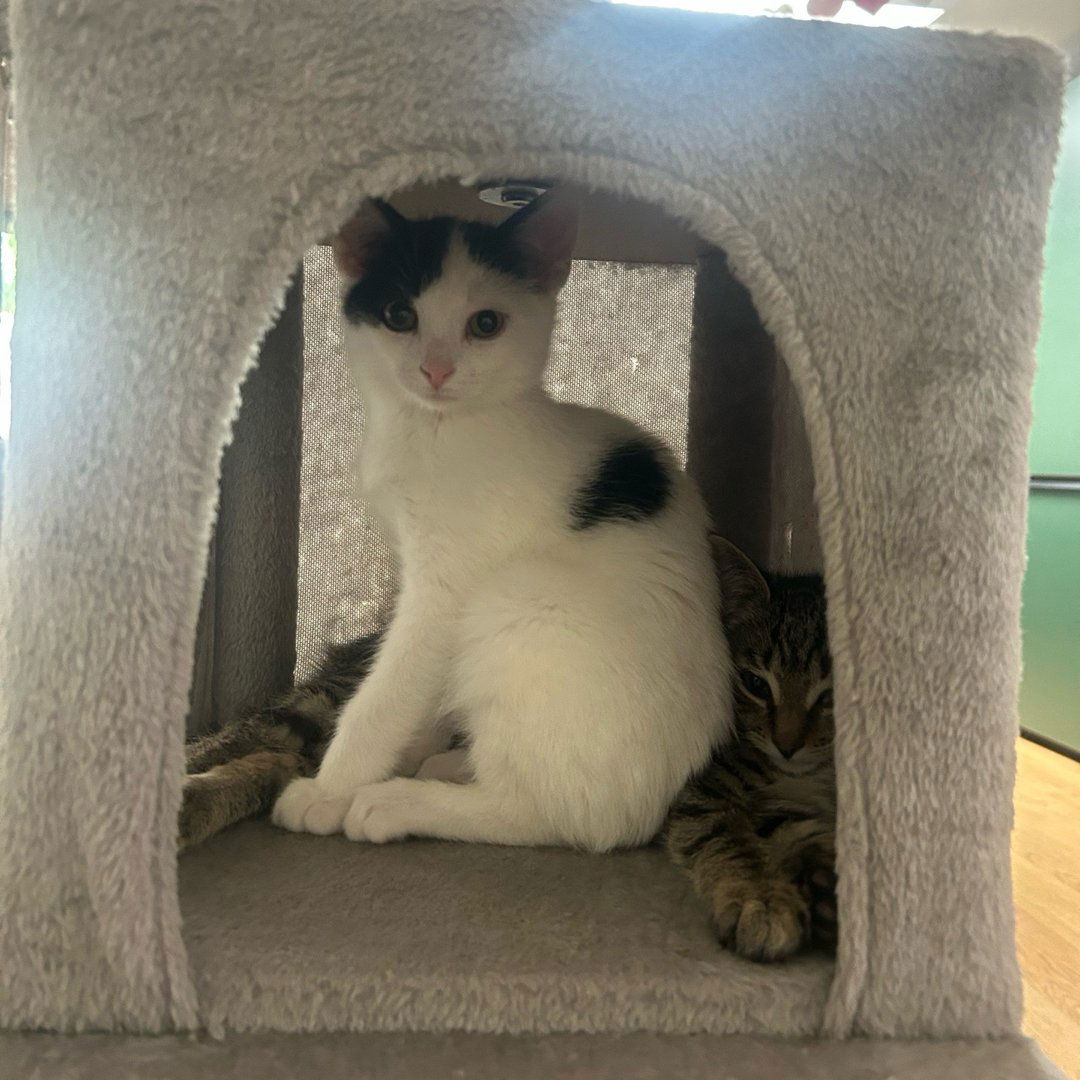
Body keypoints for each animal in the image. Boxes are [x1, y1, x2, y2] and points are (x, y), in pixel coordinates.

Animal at [265, 190, 729, 851]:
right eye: (399, 315)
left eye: (485, 324)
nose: (436, 369)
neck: (433, 429)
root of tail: (657, 806)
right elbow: (421, 687)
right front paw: (414, 742)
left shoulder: (445, 591)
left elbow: (387, 691)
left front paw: (331, 788)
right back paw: (448, 762)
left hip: (514, 598)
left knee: (544, 814)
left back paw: (399, 802)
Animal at [665, 536, 836, 961]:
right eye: (755, 684)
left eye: (830, 695)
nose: (787, 745)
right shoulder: (702, 791)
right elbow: (733, 840)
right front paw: (763, 901)